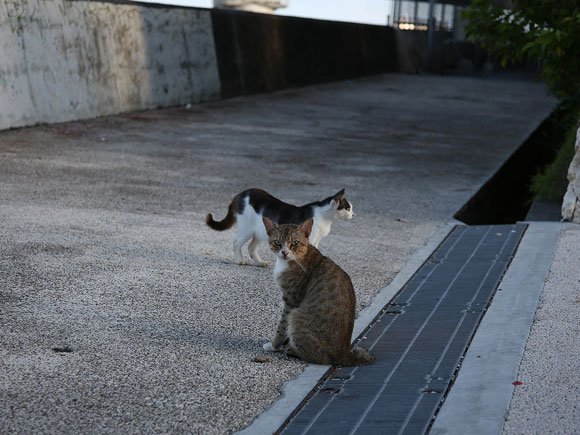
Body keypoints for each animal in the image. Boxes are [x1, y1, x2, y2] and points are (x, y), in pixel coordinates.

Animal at [206, 189, 356, 268]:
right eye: (348, 208)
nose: (354, 214)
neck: (325, 217)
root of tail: (242, 193)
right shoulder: (311, 239)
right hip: (247, 229)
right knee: (236, 243)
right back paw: (239, 260)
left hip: (261, 232)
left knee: (251, 247)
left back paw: (260, 262)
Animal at [260, 218, 374, 368]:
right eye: (277, 242)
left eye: (295, 243)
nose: (284, 252)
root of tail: (344, 354)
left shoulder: (291, 302)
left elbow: (281, 326)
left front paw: (273, 345)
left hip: (296, 316)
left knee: (319, 358)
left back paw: (291, 350)